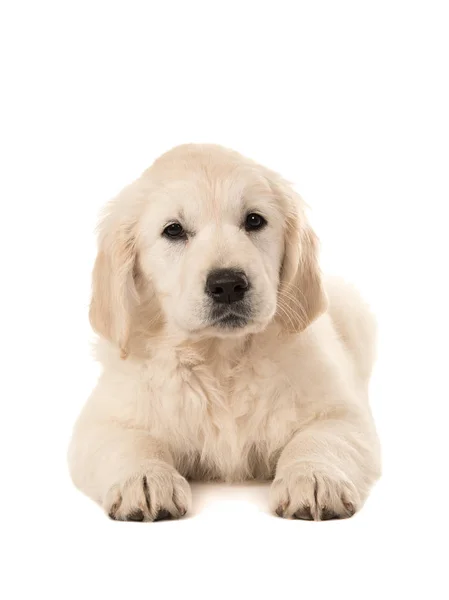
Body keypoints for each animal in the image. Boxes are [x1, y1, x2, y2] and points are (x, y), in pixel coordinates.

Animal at [68, 144, 380, 520]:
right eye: (173, 230)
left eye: (254, 220)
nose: (228, 284)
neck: (220, 356)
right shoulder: (102, 421)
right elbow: (131, 442)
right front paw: (144, 479)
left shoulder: (342, 413)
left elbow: (322, 438)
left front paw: (315, 477)